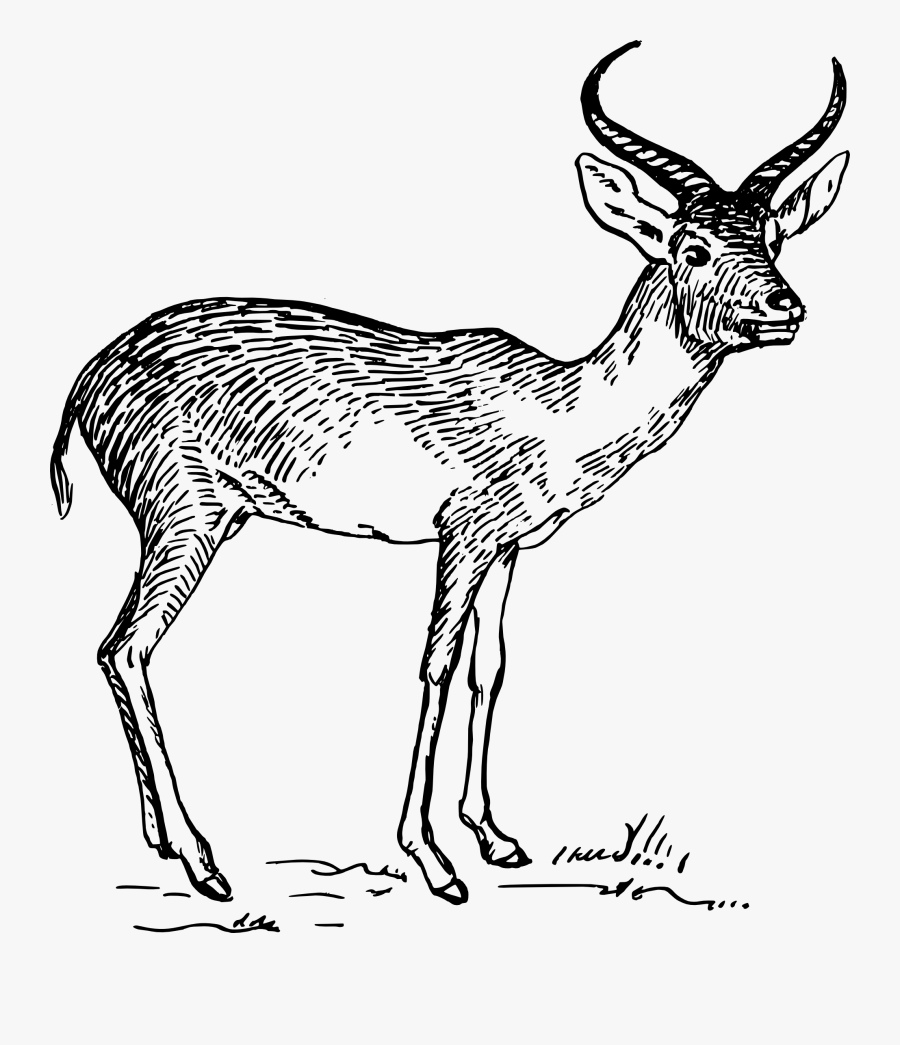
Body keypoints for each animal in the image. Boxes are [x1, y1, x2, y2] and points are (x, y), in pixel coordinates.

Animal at [51, 42, 848, 905]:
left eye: (772, 238)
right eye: (691, 247)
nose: (783, 307)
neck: (558, 406)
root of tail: (88, 375)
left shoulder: (509, 549)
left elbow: (488, 669)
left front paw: (496, 838)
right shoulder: (458, 538)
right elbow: (432, 665)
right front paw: (431, 859)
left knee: (115, 650)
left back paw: (163, 841)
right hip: (186, 519)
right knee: (128, 647)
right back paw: (205, 863)